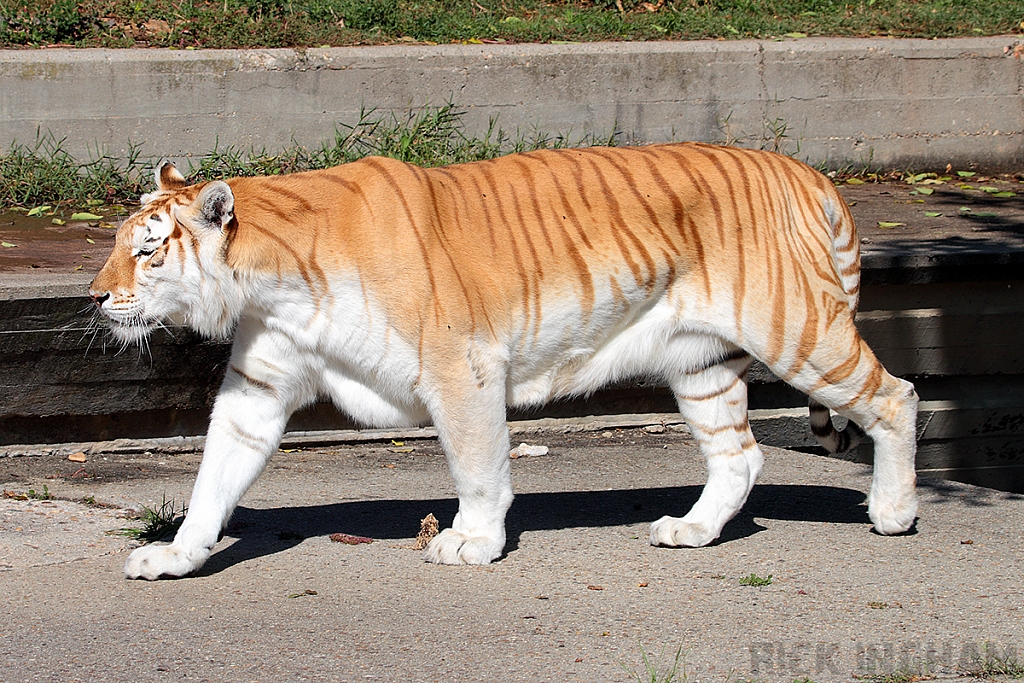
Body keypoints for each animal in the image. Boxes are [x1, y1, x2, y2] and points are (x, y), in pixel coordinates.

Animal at [90, 141, 921, 581]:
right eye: (121, 244)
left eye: (148, 249)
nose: (96, 296)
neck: (272, 283)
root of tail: (806, 172)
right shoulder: (257, 389)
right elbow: (213, 478)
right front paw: (177, 554)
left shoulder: (462, 368)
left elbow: (479, 467)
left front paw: (473, 541)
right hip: (702, 364)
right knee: (740, 456)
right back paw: (691, 529)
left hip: (799, 332)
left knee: (896, 396)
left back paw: (893, 512)